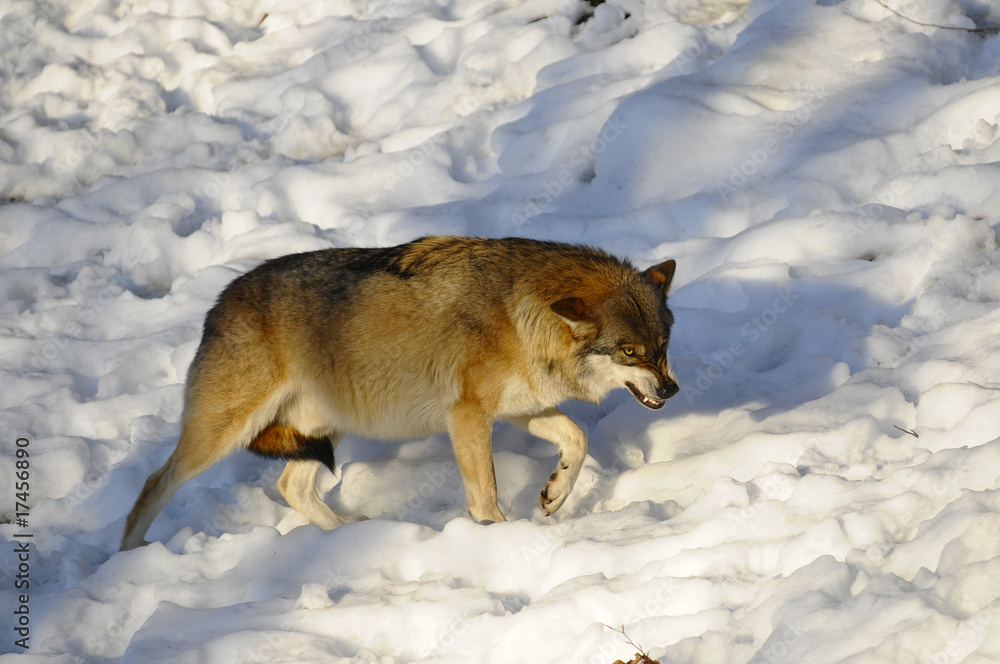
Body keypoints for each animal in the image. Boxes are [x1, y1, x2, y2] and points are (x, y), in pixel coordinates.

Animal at [120, 236, 679, 551]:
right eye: (630, 351)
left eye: (663, 344)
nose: (672, 389)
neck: (520, 316)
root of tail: (218, 301)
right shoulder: (467, 414)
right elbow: (486, 493)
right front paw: (498, 537)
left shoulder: (521, 408)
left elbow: (577, 439)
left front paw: (555, 494)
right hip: (223, 433)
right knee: (152, 483)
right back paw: (131, 557)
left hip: (327, 429)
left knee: (289, 486)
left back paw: (347, 535)